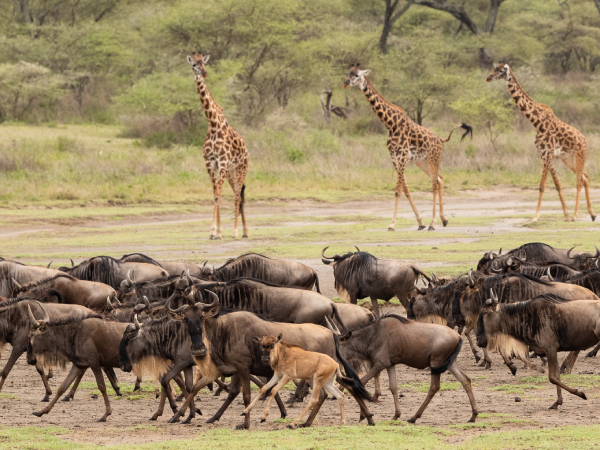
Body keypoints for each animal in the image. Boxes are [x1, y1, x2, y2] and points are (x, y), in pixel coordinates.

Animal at [188, 51, 251, 239]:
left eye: (204, 63)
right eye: (194, 65)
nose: (204, 73)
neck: (213, 123)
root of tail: (247, 150)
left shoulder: (221, 162)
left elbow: (218, 196)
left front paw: (217, 232)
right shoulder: (210, 163)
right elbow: (215, 194)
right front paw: (215, 231)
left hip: (241, 169)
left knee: (238, 196)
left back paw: (237, 232)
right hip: (231, 172)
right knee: (238, 195)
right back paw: (245, 232)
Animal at [344, 64, 472, 229]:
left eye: (357, 75)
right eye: (348, 73)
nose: (345, 82)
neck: (390, 124)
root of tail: (440, 139)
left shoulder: (402, 156)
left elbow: (398, 190)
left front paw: (392, 224)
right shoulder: (394, 158)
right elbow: (405, 189)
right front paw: (420, 222)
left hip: (434, 158)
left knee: (434, 184)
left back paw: (433, 223)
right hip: (422, 161)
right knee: (440, 179)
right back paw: (443, 219)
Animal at [488, 61, 596, 223]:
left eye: (501, 71)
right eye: (494, 69)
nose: (488, 77)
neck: (537, 123)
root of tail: (584, 140)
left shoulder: (548, 154)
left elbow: (542, 186)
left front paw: (535, 216)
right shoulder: (545, 155)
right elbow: (557, 185)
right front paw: (565, 214)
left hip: (580, 155)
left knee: (578, 182)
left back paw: (576, 215)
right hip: (567, 159)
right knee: (585, 177)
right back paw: (592, 214)